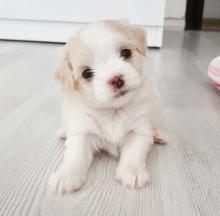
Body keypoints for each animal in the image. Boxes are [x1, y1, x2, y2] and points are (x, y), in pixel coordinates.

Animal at [49, 19, 168, 194]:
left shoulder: (138, 131)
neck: (114, 111)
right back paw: (64, 131)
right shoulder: (83, 133)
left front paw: (132, 171)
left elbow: (133, 152)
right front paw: (67, 175)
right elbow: (75, 155)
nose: (116, 79)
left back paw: (158, 135)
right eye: (87, 73)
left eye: (125, 53)